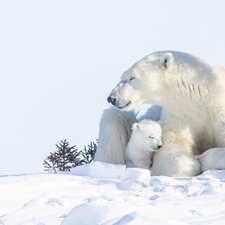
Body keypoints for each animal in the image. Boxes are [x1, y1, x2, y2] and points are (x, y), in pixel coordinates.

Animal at [96, 51, 225, 178]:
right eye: (122, 76)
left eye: (132, 77)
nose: (111, 98)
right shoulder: (179, 115)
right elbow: (170, 150)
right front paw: (196, 161)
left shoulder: (217, 113)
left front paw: (204, 158)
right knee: (114, 119)